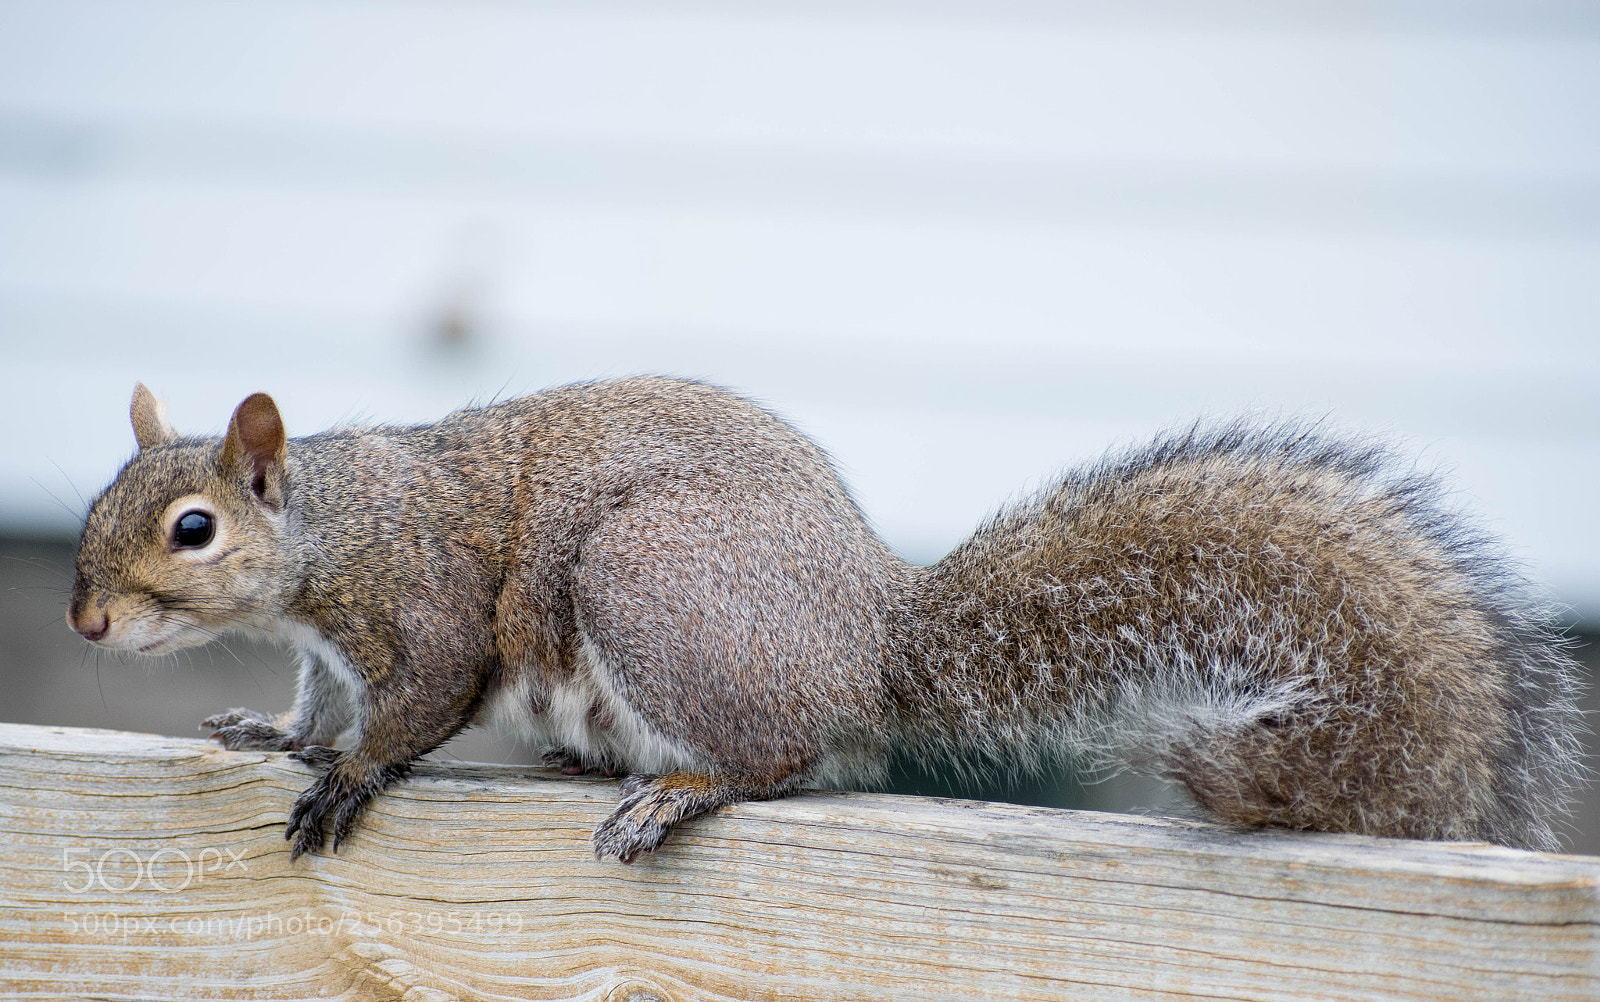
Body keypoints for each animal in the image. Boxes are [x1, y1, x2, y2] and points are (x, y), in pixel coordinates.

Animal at [68, 376, 1585, 862]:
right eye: (99, 501)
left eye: (192, 529)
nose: (85, 623)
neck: (328, 529)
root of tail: (874, 640)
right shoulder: (331, 648)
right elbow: (320, 702)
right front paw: (274, 733)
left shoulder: (423, 601)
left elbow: (419, 701)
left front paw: (351, 777)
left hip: (649, 583)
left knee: (784, 758)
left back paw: (678, 791)